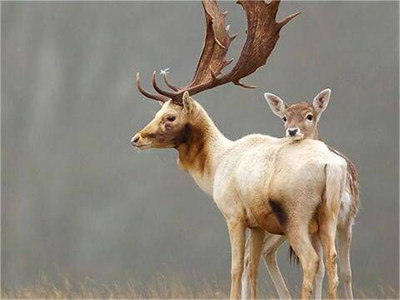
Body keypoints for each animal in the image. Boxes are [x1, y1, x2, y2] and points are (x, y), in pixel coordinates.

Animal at [130, 1, 346, 298]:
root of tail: (331, 165)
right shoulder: (257, 224)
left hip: (296, 213)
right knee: (333, 262)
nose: (136, 138)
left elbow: (235, 268)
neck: (216, 166)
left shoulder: (233, 213)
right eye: (157, 112)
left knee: (312, 261)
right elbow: (250, 270)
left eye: (170, 117)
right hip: (330, 214)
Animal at [241, 89, 360, 300]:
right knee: (253, 252)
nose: (292, 131)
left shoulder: (346, 220)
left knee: (264, 251)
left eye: (309, 116)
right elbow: (324, 269)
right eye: (284, 117)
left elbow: (345, 272)